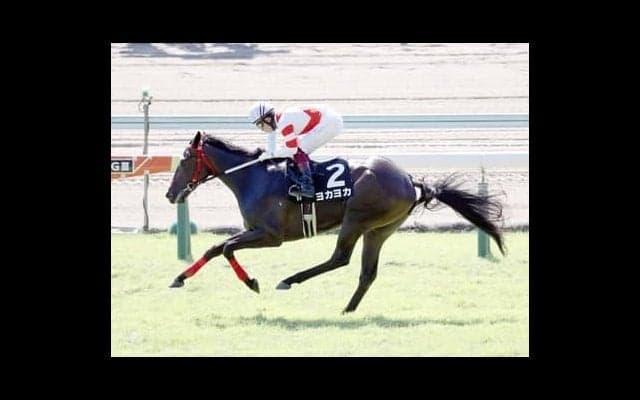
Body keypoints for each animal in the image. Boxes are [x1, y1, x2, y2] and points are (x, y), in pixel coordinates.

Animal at [165, 131, 505, 313]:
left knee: (340, 258)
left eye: (184, 158)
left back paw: (289, 280)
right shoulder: (252, 230)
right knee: (367, 272)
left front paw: (252, 282)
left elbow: (226, 249)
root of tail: (412, 181)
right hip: (379, 230)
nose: (169, 194)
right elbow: (214, 248)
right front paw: (179, 278)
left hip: (356, 218)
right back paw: (348, 309)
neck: (253, 177)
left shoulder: (270, 235)